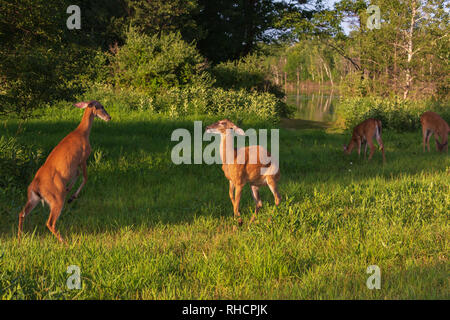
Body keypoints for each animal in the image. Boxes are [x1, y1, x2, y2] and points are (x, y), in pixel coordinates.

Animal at [18, 100, 111, 242]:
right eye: (100, 107)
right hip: (56, 198)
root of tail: (36, 185)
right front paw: (72, 197)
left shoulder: (75, 166)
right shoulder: (84, 157)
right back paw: (64, 241)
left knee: (21, 213)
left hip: (33, 198)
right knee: (50, 222)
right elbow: (85, 177)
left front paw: (70, 192)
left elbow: (77, 175)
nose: (109, 117)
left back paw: (19, 238)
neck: (82, 133)